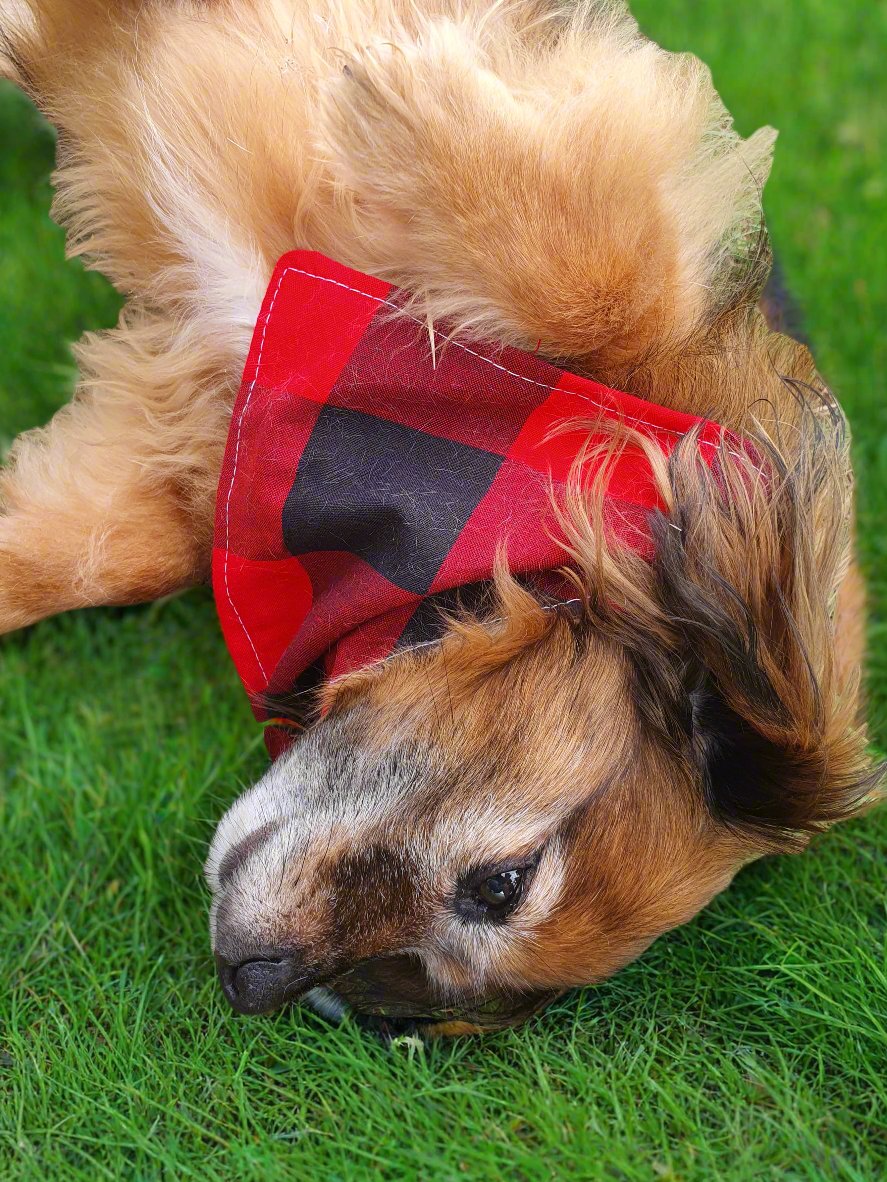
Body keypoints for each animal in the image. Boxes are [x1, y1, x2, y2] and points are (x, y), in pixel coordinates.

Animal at [0, 0, 884, 1035]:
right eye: (503, 884)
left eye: (403, 1018)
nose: (248, 983)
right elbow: (610, 287)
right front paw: (409, 95)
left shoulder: (198, 453)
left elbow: (93, 557)